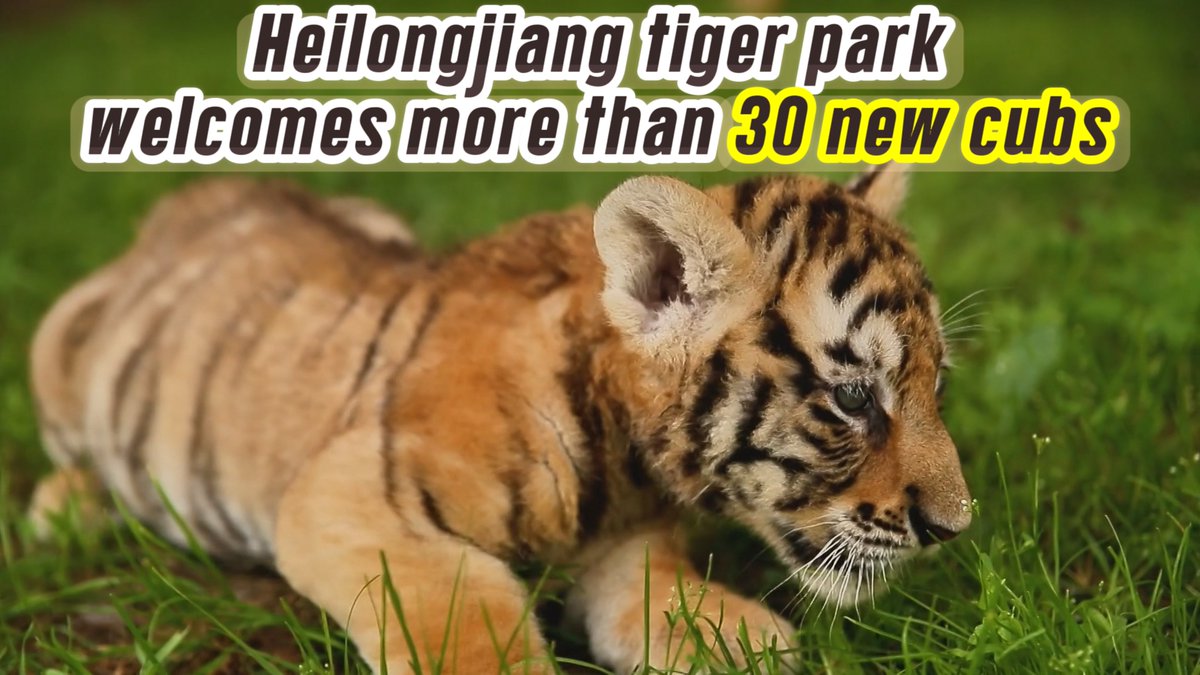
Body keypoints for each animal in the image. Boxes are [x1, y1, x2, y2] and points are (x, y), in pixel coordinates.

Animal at [28, 165, 972, 673]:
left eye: (935, 382)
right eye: (855, 397)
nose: (954, 528)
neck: (623, 455)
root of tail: (184, 197)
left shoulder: (627, 547)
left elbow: (669, 602)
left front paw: (747, 642)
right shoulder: (357, 496)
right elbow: (467, 624)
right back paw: (61, 512)